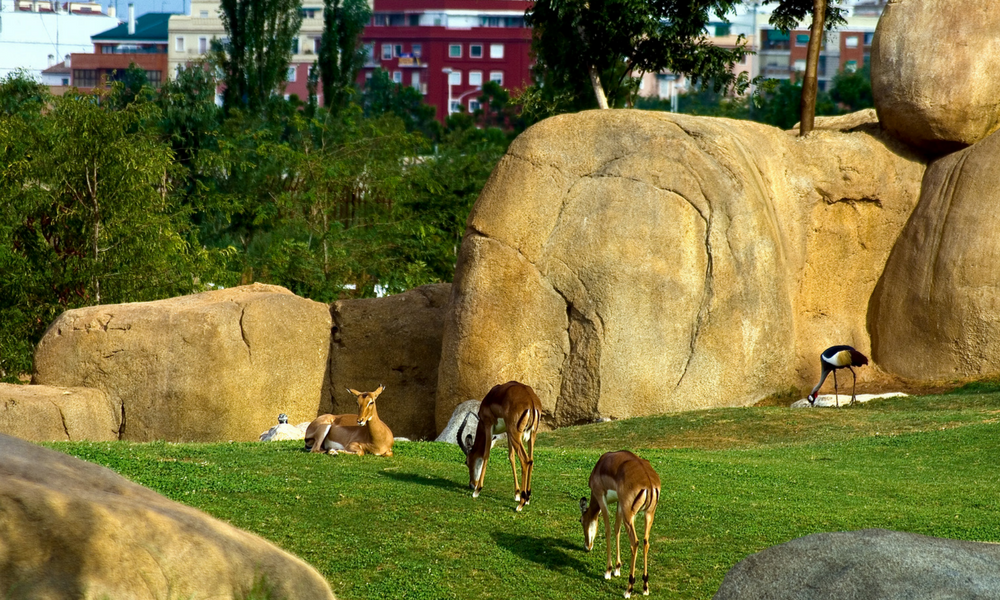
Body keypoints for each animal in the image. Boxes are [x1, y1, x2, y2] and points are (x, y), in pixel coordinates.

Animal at [458, 380, 544, 510]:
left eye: (466, 462)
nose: (471, 484)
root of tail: (532, 401)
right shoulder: (507, 432)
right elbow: (511, 457)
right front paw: (516, 494)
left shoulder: (488, 425)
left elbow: (486, 454)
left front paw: (477, 491)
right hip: (531, 435)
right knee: (531, 459)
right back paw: (527, 498)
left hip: (516, 434)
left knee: (525, 460)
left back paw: (521, 504)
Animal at [580, 450, 664, 596]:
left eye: (581, 521)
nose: (587, 547)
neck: (600, 467)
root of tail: (649, 483)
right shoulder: (619, 503)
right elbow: (616, 529)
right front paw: (617, 569)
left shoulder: (601, 497)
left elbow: (608, 530)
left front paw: (608, 571)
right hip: (648, 514)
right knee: (645, 542)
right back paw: (645, 587)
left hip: (629, 516)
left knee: (635, 542)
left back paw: (628, 589)